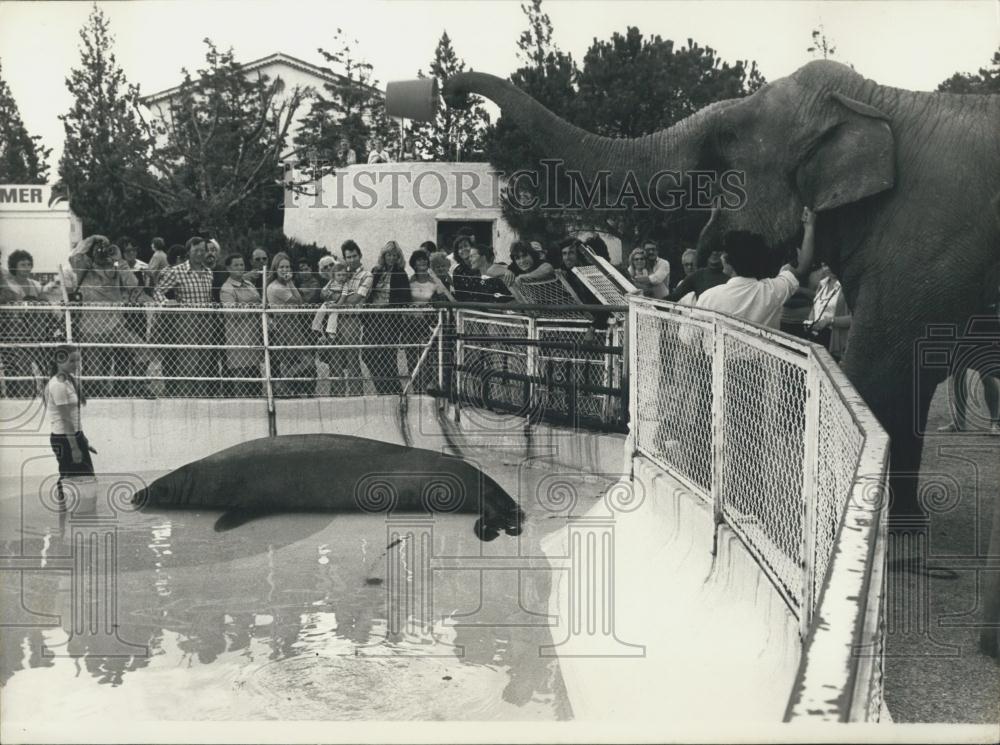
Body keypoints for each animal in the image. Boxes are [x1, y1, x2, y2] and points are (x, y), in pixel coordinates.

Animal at [430, 61, 1000, 656]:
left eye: (724, 143)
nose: (451, 89)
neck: (881, 100)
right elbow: (906, 392)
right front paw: (905, 538)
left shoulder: (926, 250)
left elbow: (878, 381)